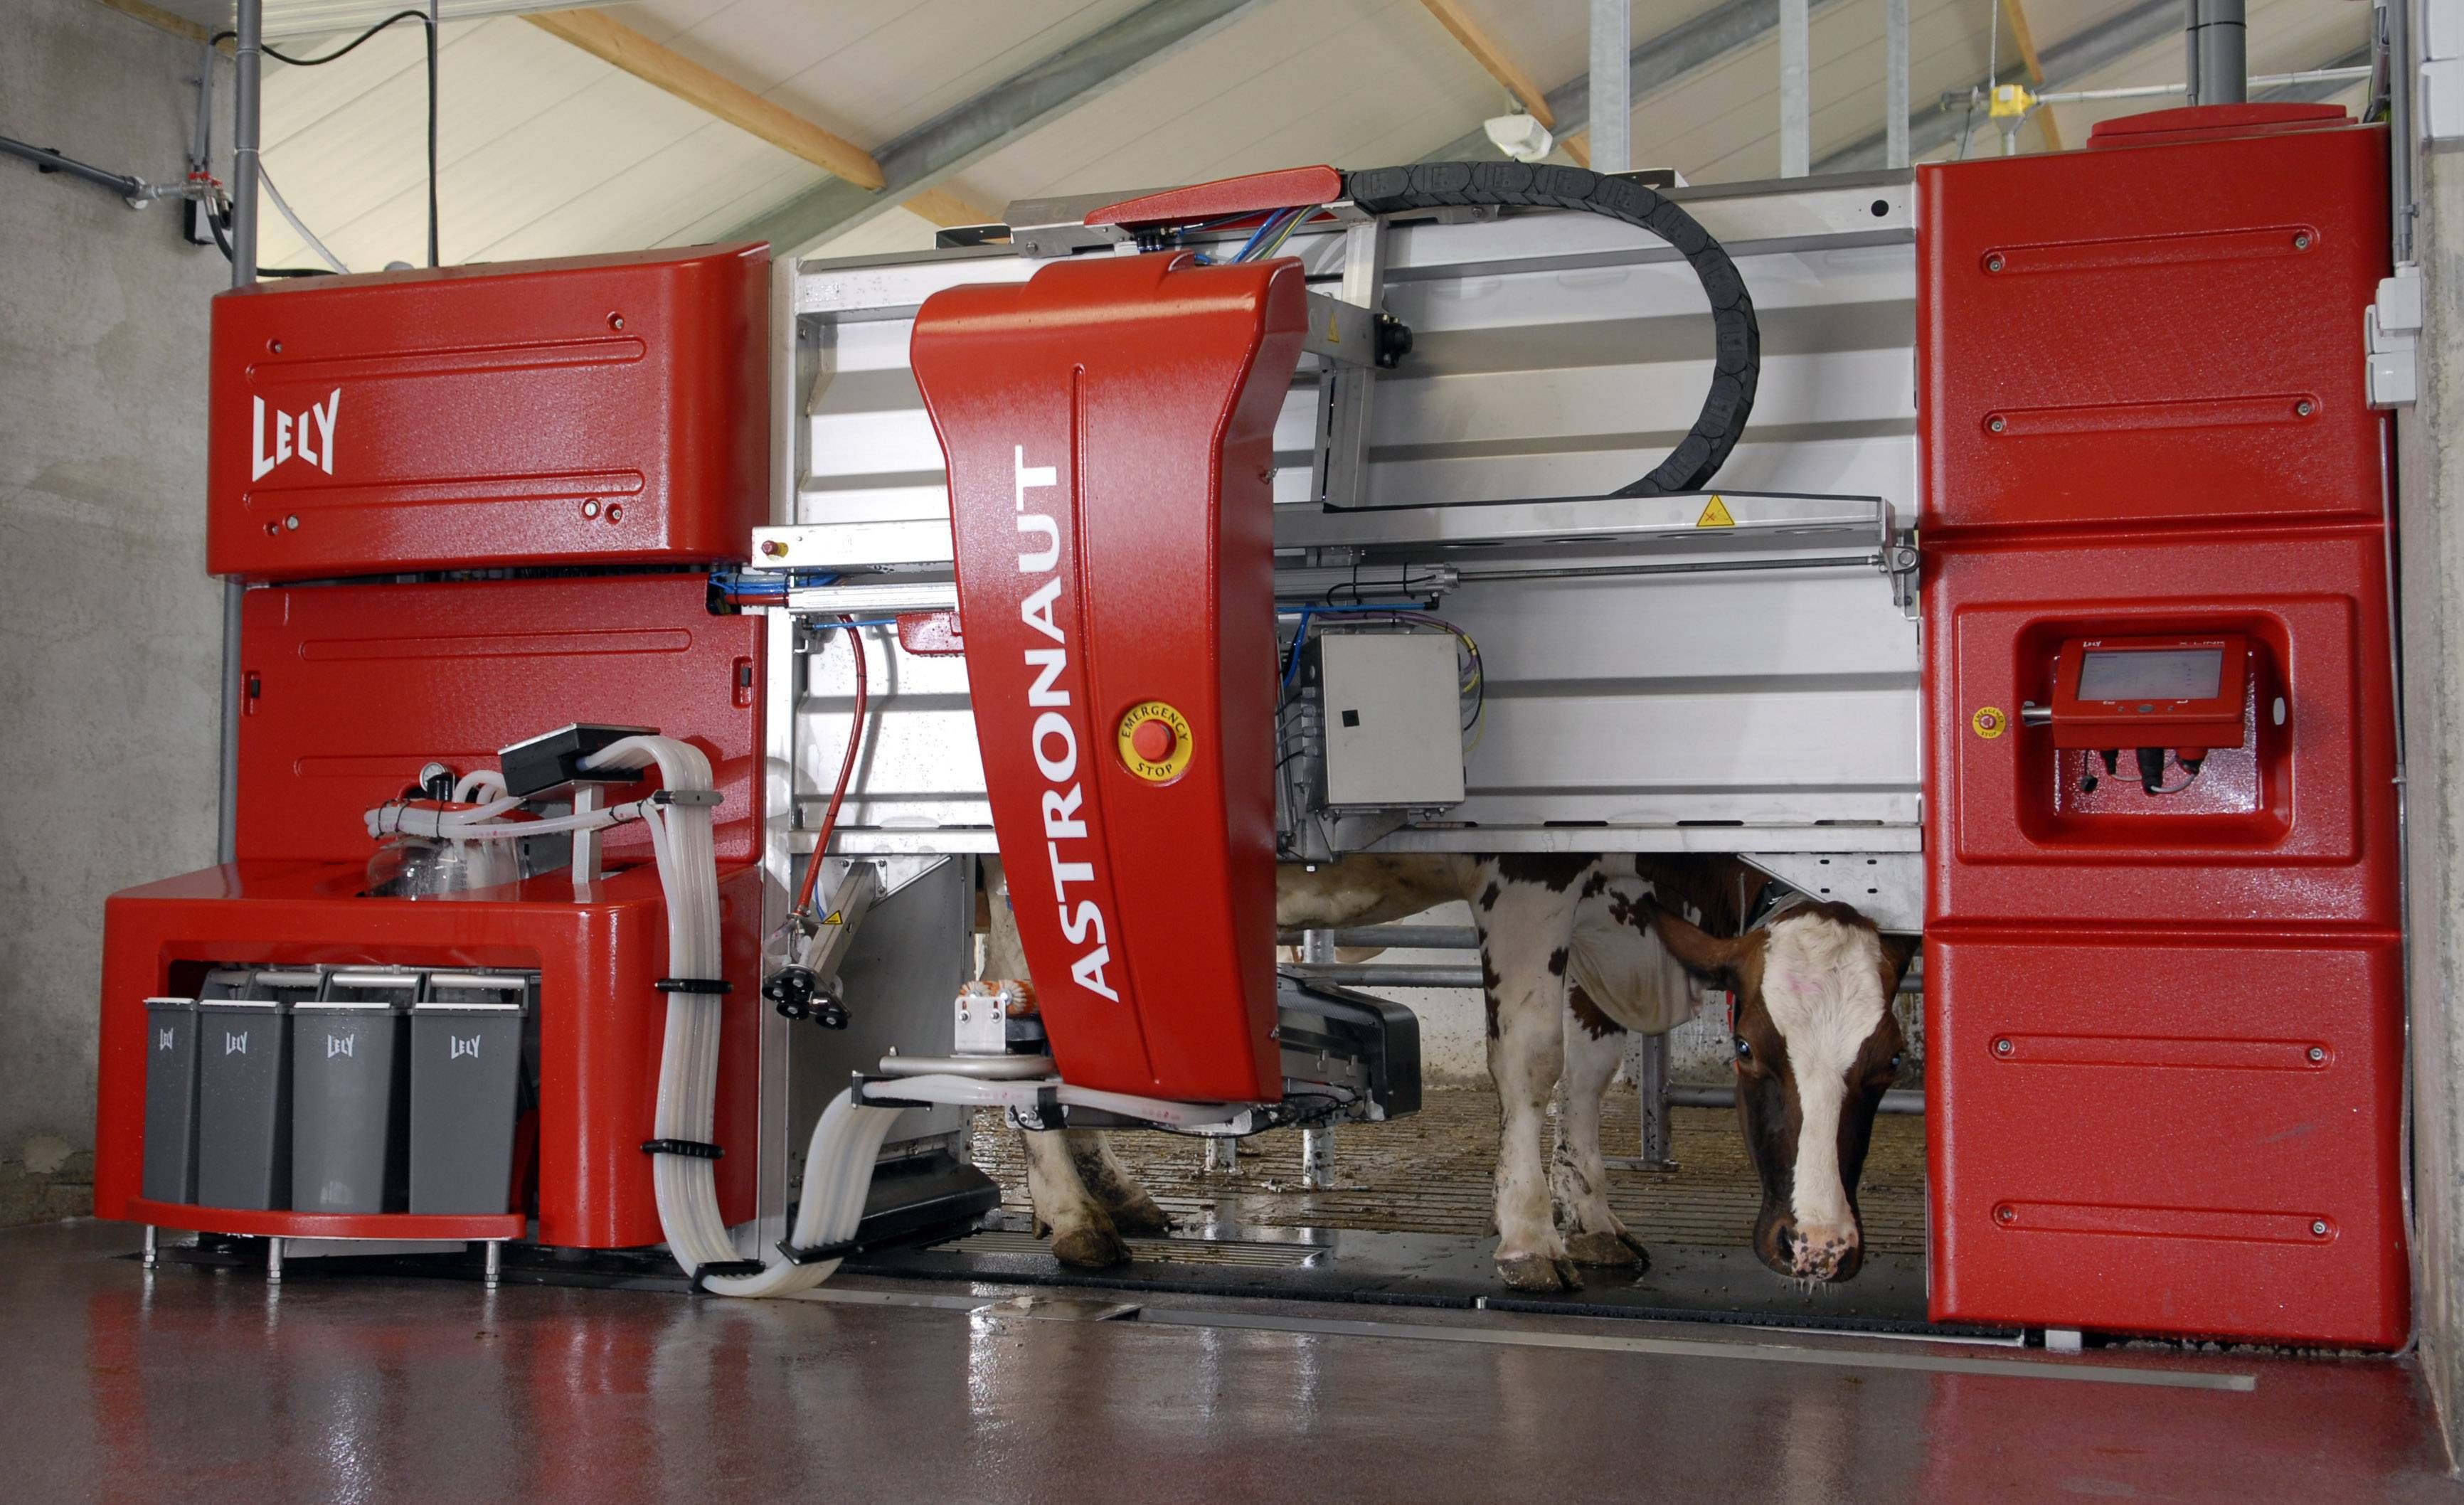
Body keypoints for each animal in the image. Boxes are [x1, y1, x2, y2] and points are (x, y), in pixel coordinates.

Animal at [980, 852, 1902, 1290]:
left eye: (1889, 1060)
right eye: (1747, 1048)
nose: (1819, 1247)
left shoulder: (1612, 911)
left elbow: (1588, 1073)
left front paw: (1593, 1218)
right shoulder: (1531, 874)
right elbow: (1531, 1060)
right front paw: (1529, 1236)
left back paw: (1110, 1195)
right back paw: (1075, 1218)